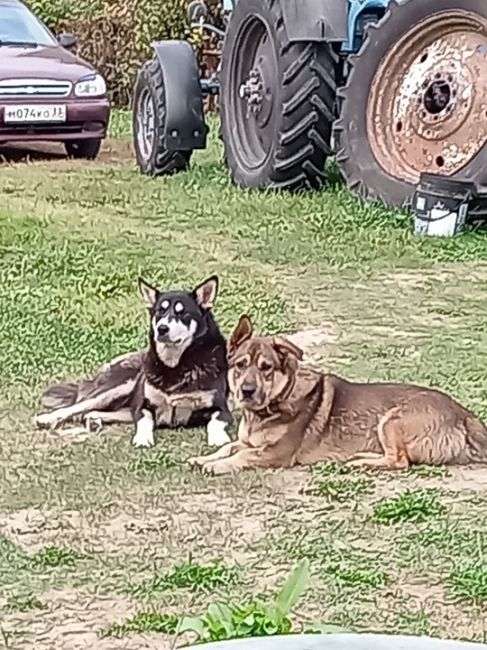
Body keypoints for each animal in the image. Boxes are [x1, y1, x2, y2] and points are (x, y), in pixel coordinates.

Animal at [34, 274, 233, 446]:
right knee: (77, 407)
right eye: (159, 312)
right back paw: (47, 418)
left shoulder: (222, 409)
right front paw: (143, 439)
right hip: (116, 388)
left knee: (94, 412)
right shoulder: (143, 406)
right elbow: (144, 421)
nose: (162, 328)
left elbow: (215, 422)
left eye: (182, 313)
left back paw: (94, 420)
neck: (176, 366)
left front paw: (219, 439)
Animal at [188, 314, 487, 470]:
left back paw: (360, 461)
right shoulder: (249, 442)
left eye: (266, 368)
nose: (247, 391)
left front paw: (214, 466)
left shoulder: (276, 454)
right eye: (240, 365)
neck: (278, 400)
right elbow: (228, 447)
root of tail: (463, 414)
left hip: (390, 420)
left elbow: (240, 456)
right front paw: (204, 458)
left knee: (400, 461)